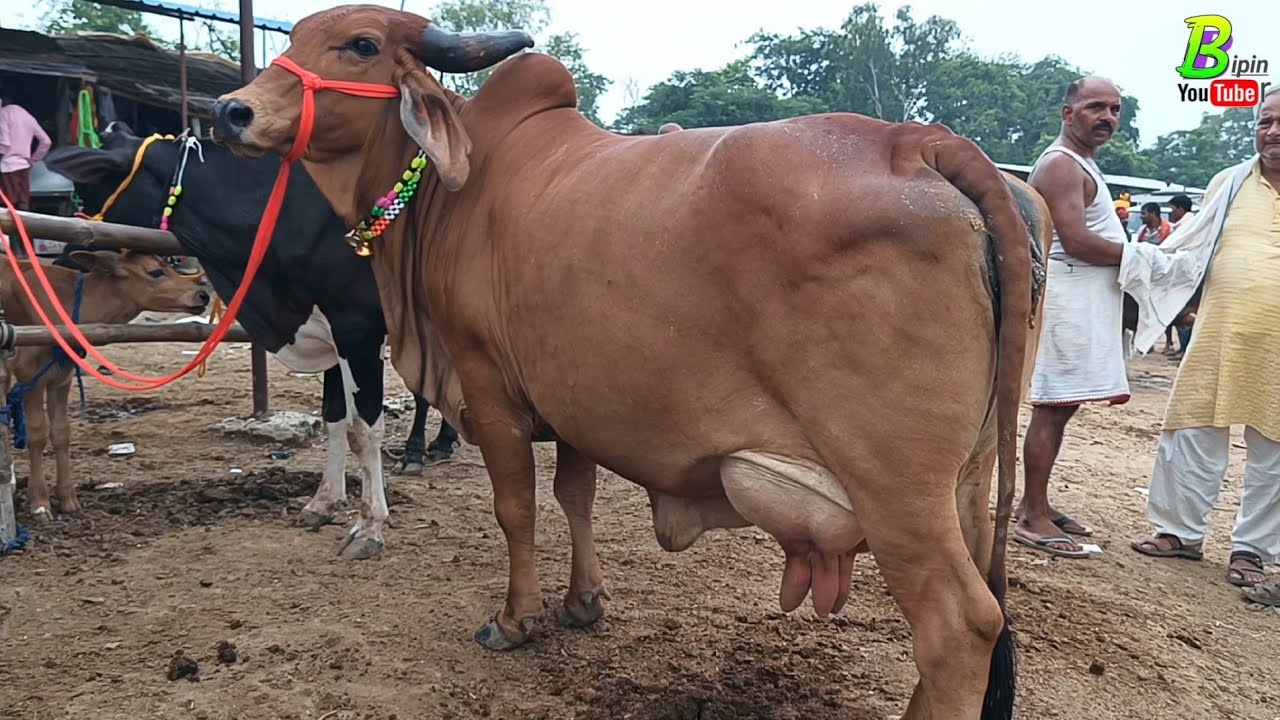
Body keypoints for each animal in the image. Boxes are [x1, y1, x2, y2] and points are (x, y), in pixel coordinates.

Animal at [2, 251, 210, 520]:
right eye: (155, 272)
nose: (203, 295)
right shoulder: (29, 373)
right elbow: (37, 434)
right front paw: (40, 503)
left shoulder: (62, 376)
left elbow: (61, 432)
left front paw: (68, 499)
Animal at [44, 123, 461, 560]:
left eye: (90, 184)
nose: (65, 256)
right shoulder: (328, 328)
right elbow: (334, 417)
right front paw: (323, 502)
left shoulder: (357, 326)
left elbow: (364, 430)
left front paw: (369, 526)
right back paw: (440, 443)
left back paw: (419, 450)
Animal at [209, 7, 1046, 718]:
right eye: (299, 35)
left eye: (359, 45)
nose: (231, 112)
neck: (452, 192)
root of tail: (921, 143)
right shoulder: (575, 395)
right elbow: (575, 497)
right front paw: (584, 602)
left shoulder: (488, 381)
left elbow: (516, 508)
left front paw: (517, 618)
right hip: (969, 481)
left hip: (897, 490)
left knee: (960, 627)